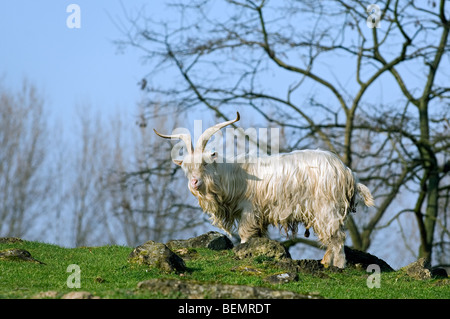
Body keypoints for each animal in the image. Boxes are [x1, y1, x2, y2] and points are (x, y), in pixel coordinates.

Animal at [155, 112, 372, 268]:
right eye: (186, 167)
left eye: (205, 163)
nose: (194, 182)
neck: (232, 175)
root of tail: (346, 172)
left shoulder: (249, 210)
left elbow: (245, 234)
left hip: (327, 207)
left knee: (337, 237)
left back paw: (337, 266)